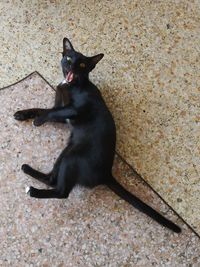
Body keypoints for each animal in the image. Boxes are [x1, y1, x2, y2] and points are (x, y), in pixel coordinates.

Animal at [14, 38, 181, 234]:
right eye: (68, 59)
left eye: (82, 64)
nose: (72, 66)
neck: (71, 85)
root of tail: (106, 174)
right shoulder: (63, 115)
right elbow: (45, 110)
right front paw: (22, 114)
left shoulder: (74, 110)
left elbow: (50, 112)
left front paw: (38, 121)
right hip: (66, 152)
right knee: (52, 180)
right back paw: (27, 169)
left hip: (71, 157)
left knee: (62, 192)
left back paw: (32, 190)